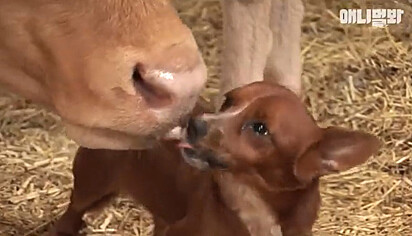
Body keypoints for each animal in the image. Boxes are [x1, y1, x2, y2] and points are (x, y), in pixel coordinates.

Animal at [50, 81, 382, 236]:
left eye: (260, 128)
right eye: (228, 101)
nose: (192, 123)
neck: (251, 202)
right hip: (92, 184)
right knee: (72, 211)